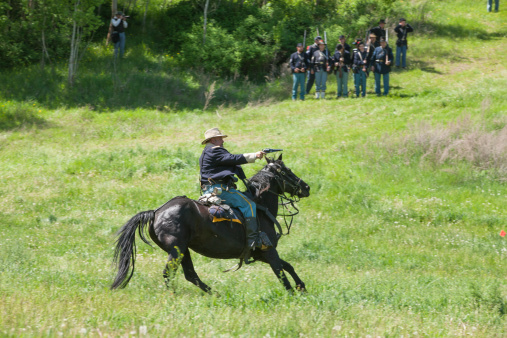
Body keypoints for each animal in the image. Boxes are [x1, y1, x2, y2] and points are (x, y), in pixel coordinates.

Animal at [110, 154, 310, 292]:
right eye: (287, 171)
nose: (306, 187)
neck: (260, 204)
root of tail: (156, 212)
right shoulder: (268, 250)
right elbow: (281, 273)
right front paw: (292, 294)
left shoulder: (260, 254)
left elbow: (287, 266)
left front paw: (302, 287)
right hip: (176, 250)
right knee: (169, 273)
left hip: (183, 250)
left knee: (190, 275)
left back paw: (215, 294)